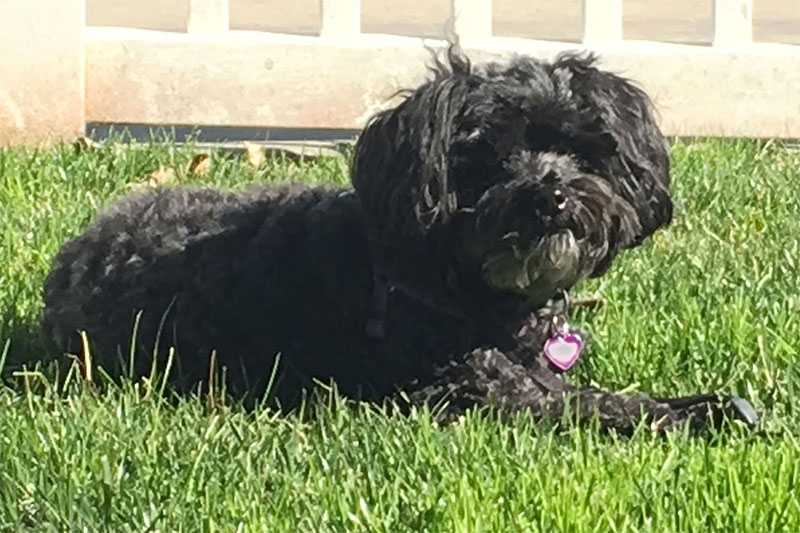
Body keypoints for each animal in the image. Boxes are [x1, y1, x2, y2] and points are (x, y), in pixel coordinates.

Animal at [43, 48, 756, 432]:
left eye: (578, 148)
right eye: (486, 160)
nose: (550, 196)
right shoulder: (467, 386)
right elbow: (586, 402)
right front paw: (696, 414)